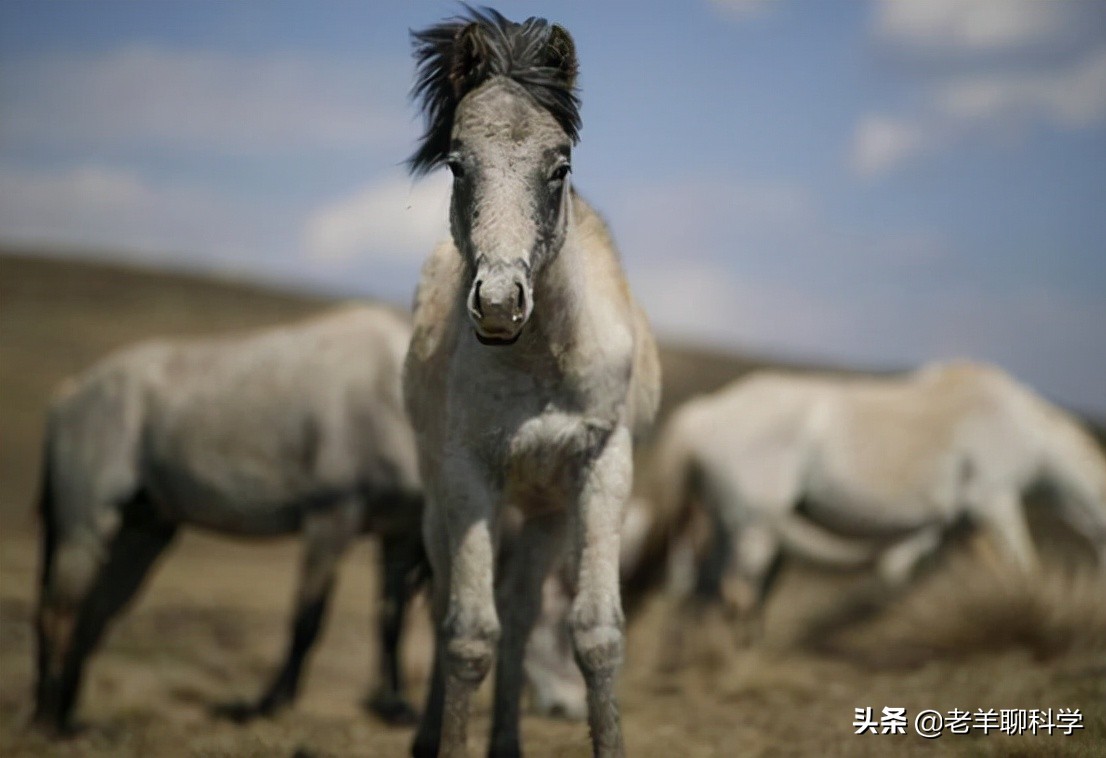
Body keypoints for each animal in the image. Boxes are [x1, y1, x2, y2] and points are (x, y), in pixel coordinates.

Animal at [31, 304, 426, 734]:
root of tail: (69, 394)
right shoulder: (331, 521)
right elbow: (307, 619)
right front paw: (271, 703)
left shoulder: (399, 532)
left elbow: (391, 621)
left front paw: (397, 706)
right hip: (85, 528)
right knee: (61, 610)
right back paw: (50, 719)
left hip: (143, 532)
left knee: (94, 612)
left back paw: (65, 717)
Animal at [403, 9, 661, 757]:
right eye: (458, 163)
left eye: (559, 167)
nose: (498, 304)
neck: (542, 360)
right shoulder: (468, 474)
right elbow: (467, 634)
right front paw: (449, 742)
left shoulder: (603, 466)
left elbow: (596, 633)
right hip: (441, 499)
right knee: (445, 603)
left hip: (545, 512)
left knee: (520, 614)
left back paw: (509, 742)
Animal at [642, 360, 1106, 631]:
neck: (1026, 429)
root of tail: (705, 412)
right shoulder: (994, 499)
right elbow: (1024, 566)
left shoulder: (955, 525)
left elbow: (935, 574)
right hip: (756, 525)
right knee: (734, 591)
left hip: (728, 521)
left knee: (707, 591)